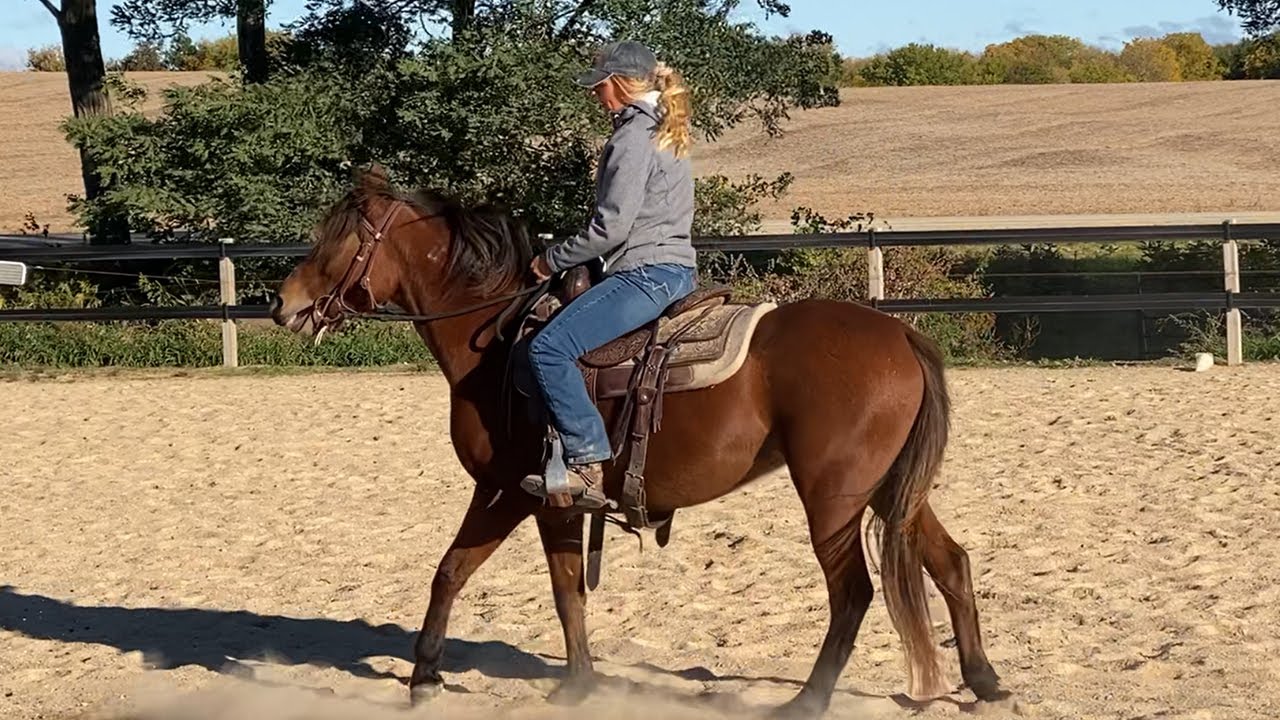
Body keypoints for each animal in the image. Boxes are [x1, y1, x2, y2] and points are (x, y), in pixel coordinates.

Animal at [269, 165, 1005, 718]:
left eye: (335, 241)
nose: (283, 304)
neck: (500, 341)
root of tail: (899, 333)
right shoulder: (553, 502)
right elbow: (559, 587)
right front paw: (577, 683)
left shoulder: (511, 489)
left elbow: (459, 569)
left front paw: (425, 676)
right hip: (889, 491)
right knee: (950, 563)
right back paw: (985, 681)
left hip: (834, 497)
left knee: (852, 593)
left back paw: (808, 701)